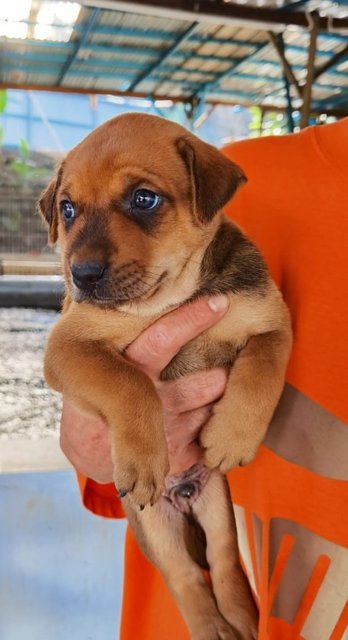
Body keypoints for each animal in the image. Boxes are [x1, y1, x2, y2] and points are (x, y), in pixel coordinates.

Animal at [39, 115, 292, 640]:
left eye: (143, 198)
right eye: (67, 209)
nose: (81, 275)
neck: (172, 296)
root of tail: (183, 493)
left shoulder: (272, 322)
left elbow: (263, 368)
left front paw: (233, 437)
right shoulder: (69, 347)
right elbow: (129, 383)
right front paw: (143, 458)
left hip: (218, 507)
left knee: (223, 561)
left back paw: (242, 619)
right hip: (153, 522)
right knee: (185, 576)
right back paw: (213, 627)